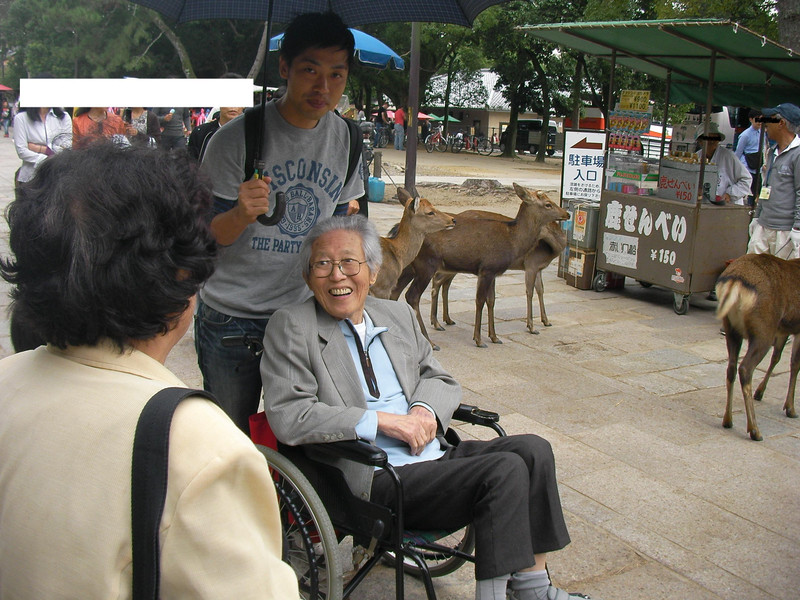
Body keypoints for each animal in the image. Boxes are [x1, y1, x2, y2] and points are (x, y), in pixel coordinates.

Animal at [432, 217, 568, 338]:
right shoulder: (531, 265)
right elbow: (530, 292)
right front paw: (532, 327)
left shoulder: (538, 268)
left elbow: (541, 289)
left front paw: (546, 321)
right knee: (438, 280)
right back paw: (437, 322)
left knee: (443, 283)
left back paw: (446, 320)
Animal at [716, 253, 800, 440]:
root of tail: (735, 281)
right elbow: (794, 364)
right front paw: (790, 408)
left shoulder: (782, 329)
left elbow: (777, 357)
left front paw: (761, 393)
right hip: (763, 329)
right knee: (745, 368)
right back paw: (754, 429)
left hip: (732, 327)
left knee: (731, 367)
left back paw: (727, 420)